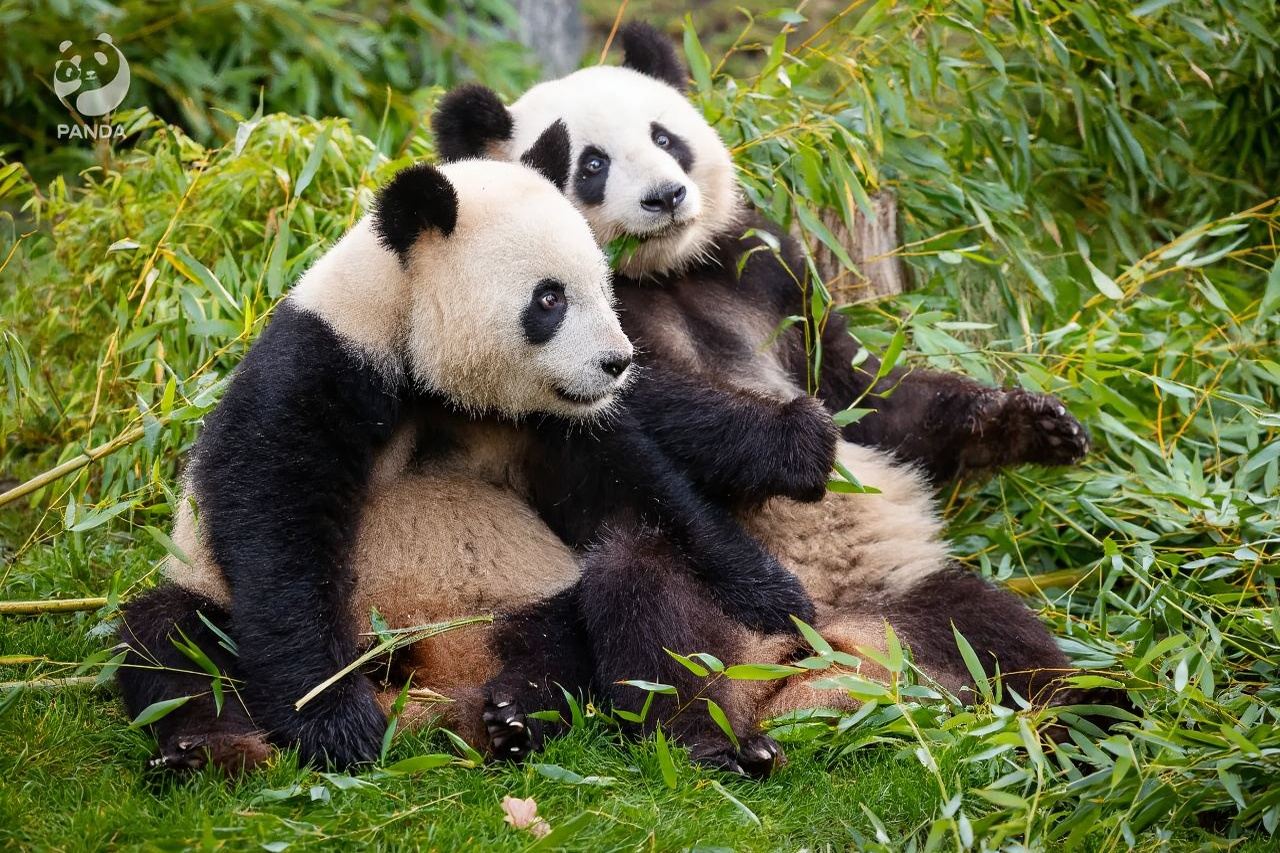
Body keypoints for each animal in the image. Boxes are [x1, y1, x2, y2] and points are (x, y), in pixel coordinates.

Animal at [118, 155, 830, 776]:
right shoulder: (319, 367)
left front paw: (776, 596)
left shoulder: (548, 422)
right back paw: (211, 749)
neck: (420, 355)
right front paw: (335, 723)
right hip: (215, 606)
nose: (616, 363)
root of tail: (440, 691)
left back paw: (569, 722)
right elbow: (276, 529)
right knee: (172, 644)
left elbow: (637, 491)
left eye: (605, 290)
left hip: (532, 603)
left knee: (631, 591)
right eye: (550, 299)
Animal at [428, 23, 1096, 732]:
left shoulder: (770, 272)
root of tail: (814, 660)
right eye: (592, 164)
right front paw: (799, 442)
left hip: (909, 587)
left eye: (664, 138)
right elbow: (626, 398)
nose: (666, 197)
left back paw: (1085, 714)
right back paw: (714, 732)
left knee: (998, 634)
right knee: (648, 597)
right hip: (708, 595)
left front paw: (1036, 423)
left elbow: (868, 394)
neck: (661, 271)